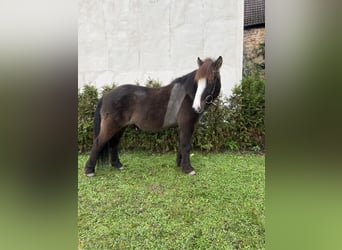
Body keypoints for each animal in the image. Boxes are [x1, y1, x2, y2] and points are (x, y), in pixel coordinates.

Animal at [84, 56, 223, 177]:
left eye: (211, 80)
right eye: (197, 82)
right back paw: (89, 171)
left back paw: (118, 165)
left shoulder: (184, 127)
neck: (187, 96)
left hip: (120, 127)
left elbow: (181, 144)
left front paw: (179, 164)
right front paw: (188, 169)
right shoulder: (187, 125)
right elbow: (186, 145)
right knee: (98, 143)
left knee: (114, 143)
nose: (197, 106)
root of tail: (106, 96)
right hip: (111, 126)